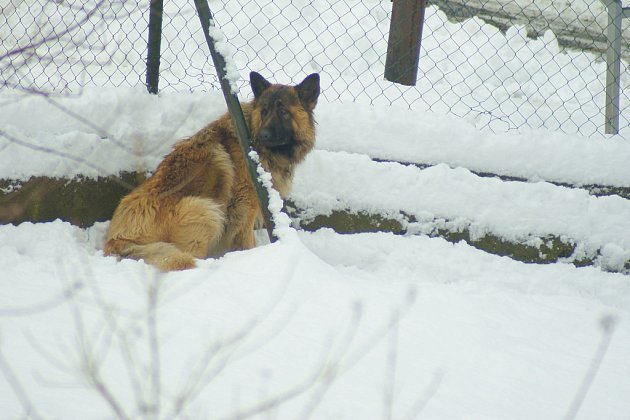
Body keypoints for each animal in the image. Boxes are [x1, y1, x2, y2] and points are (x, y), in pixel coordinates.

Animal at [105, 71, 320, 272]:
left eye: (283, 111)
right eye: (264, 111)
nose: (263, 135)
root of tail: (115, 241)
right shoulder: (243, 213)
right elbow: (246, 242)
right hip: (205, 209)